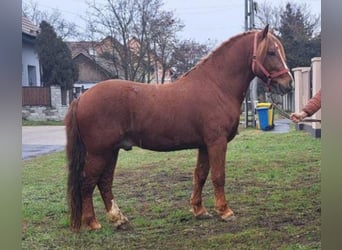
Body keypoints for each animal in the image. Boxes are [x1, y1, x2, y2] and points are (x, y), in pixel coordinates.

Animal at [65, 26, 292, 231]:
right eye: (271, 52)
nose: (288, 84)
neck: (216, 85)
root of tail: (81, 97)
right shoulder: (216, 142)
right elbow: (218, 176)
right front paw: (225, 211)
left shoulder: (204, 145)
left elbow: (200, 175)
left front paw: (199, 210)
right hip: (99, 153)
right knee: (88, 182)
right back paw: (92, 223)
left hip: (112, 151)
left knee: (104, 182)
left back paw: (118, 219)